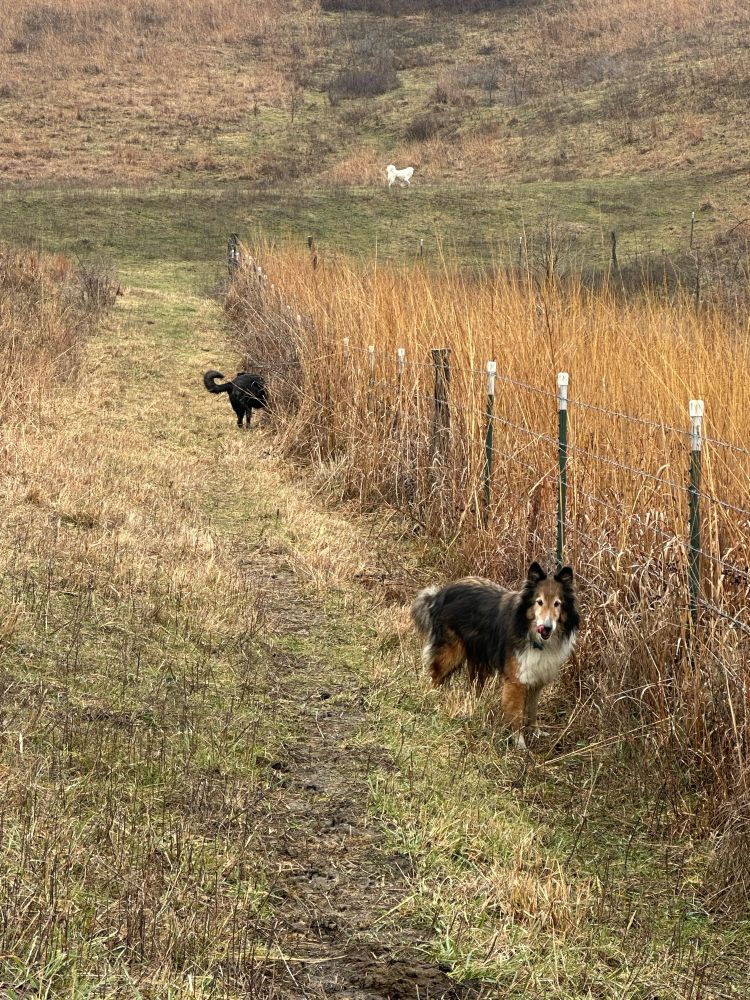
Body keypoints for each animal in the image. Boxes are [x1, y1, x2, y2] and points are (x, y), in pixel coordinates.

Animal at [411, 563, 579, 748]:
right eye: (539, 602)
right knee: (435, 676)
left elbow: (532, 711)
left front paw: (535, 732)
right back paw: (432, 698)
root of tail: (440, 593)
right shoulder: (516, 681)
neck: (530, 631)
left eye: (557, 604)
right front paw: (519, 743)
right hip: (451, 653)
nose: (547, 627)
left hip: (477, 659)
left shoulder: (537, 680)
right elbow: (516, 714)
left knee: (473, 685)